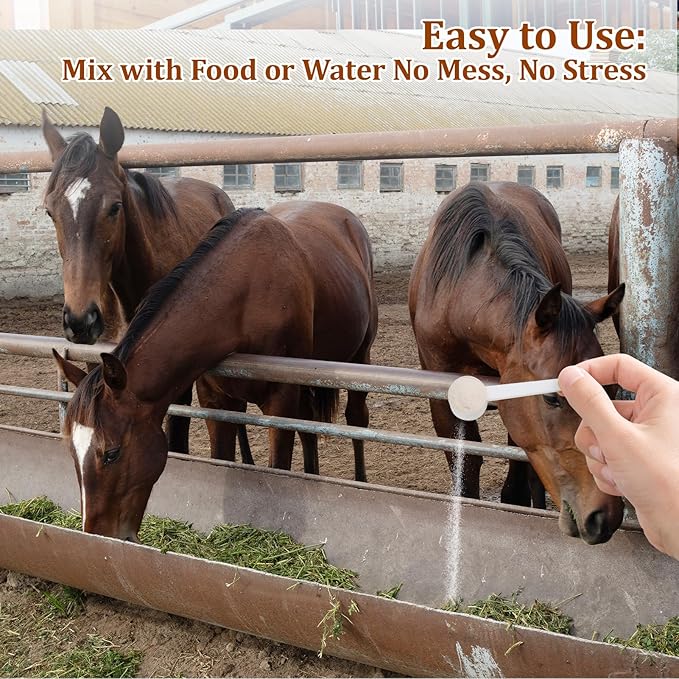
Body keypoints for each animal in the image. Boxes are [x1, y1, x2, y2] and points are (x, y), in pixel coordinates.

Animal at [53, 204, 377, 538]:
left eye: (112, 453)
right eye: (72, 452)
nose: (98, 535)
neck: (245, 294)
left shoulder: (281, 401)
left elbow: (279, 468)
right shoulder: (217, 403)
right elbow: (222, 458)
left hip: (359, 358)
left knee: (356, 419)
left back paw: (361, 479)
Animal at [409, 182, 626, 544]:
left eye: (609, 390)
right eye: (551, 397)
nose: (605, 517)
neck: (460, 294)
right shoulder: (443, 399)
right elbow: (466, 464)